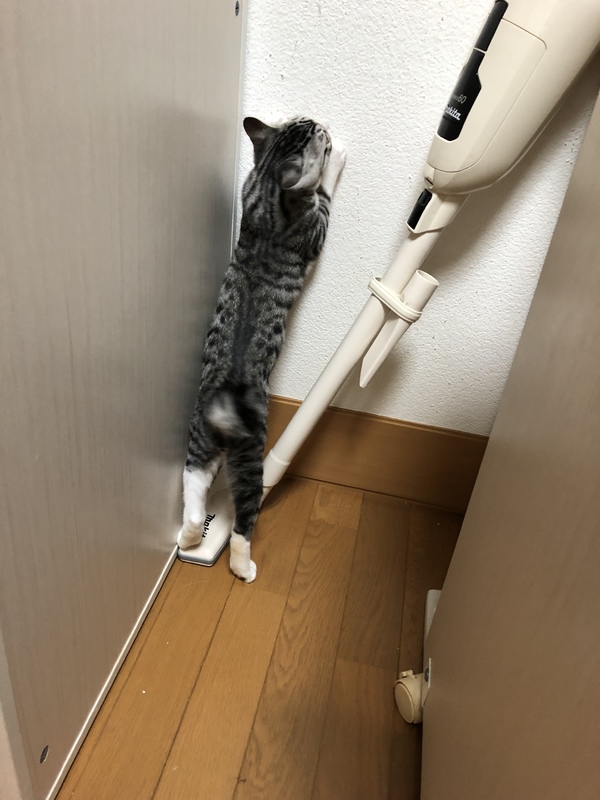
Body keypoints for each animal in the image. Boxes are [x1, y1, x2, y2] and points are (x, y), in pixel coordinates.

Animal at [177, 115, 346, 583]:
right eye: (317, 135)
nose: (324, 124)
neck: (269, 188)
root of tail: (223, 403)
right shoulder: (316, 225)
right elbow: (324, 193)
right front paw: (336, 161)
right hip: (251, 457)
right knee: (243, 522)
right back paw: (243, 566)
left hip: (199, 442)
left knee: (194, 495)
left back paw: (189, 537)